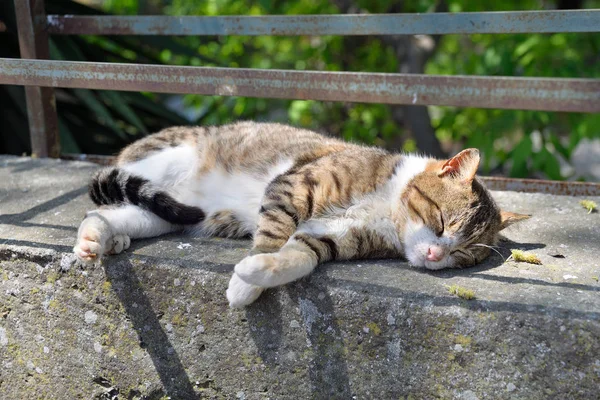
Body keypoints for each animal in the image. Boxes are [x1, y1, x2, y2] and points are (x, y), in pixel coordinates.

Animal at [72, 122, 528, 306]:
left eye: (462, 256)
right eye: (441, 223)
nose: (436, 255)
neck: (386, 207)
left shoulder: (333, 236)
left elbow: (299, 257)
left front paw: (256, 276)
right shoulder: (293, 188)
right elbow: (271, 237)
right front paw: (245, 280)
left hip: (174, 213)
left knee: (117, 212)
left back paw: (98, 239)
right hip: (166, 165)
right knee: (107, 195)